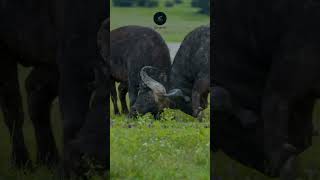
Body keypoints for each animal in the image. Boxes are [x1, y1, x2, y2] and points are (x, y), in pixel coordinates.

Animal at [0, 0, 109, 177]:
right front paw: (68, 170)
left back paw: (49, 160)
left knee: (35, 94)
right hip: (5, 51)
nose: (96, 160)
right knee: (13, 107)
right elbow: (73, 120)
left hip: (48, 62)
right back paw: (22, 163)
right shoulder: (73, 58)